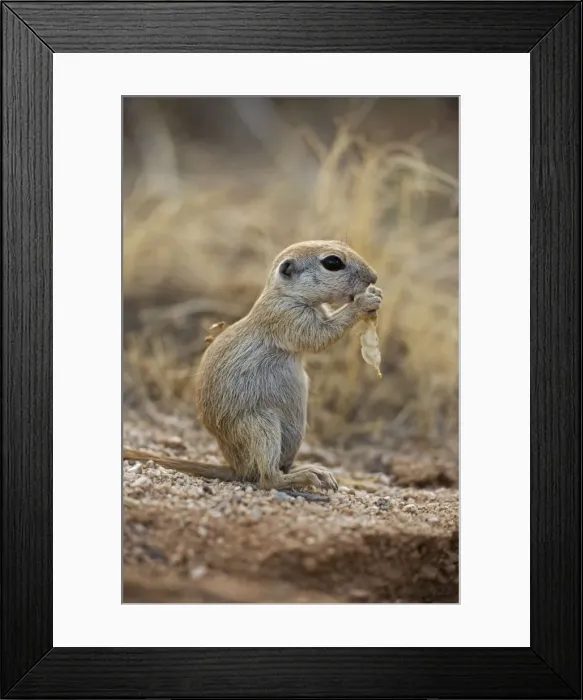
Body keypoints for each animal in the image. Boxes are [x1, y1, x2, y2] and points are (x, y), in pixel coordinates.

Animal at [124, 240, 382, 495]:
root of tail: (235, 468)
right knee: (267, 478)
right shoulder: (287, 317)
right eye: (332, 262)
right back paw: (305, 476)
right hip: (260, 426)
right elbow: (320, 336)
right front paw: (365, 302)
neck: (284, 294)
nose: (374, 277)